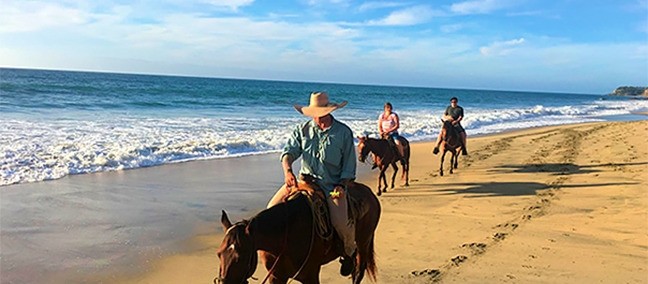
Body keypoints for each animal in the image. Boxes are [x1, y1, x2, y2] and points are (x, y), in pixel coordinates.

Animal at [216, 182, 380, 284]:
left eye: (240, 257)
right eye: (219, 254)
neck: (285, 237)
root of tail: (369, 193)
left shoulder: (310, 277)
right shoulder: (276, 277)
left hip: (364, 242)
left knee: (358, 271)